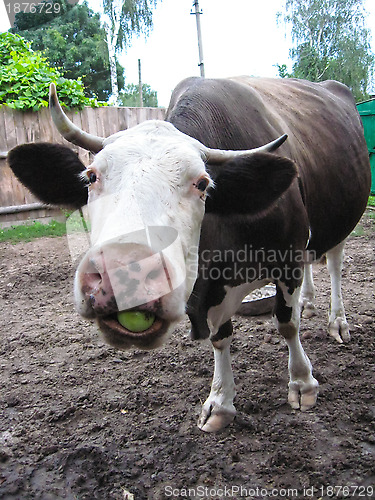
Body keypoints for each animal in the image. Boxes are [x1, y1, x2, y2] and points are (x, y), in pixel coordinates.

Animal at [7, 76, 372, 432]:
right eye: (91, 176)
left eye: (202, 183)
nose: (124, 273)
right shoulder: (212, 289)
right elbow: (220, 336)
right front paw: (221, 401)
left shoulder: (288, 256)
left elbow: (287, 323)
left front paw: (302, 383)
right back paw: (308, 301)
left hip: (341, 219)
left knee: (334, 263)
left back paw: (337, 321)